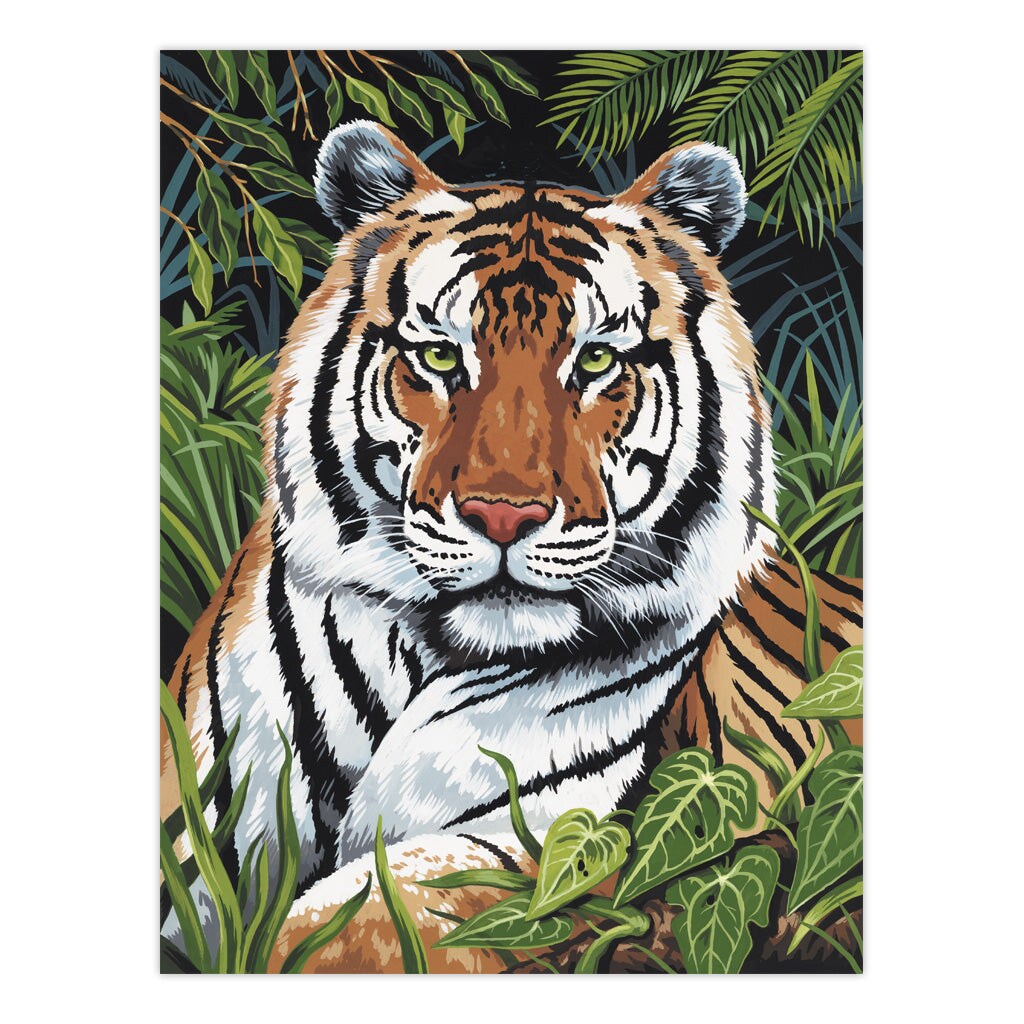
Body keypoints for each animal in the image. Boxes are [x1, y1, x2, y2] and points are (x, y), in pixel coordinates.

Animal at [161, 119, 863, 973]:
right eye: (439, 355)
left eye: (595, 360)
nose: (503, 516)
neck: (420, 658)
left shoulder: (561, 845)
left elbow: (363, 920)